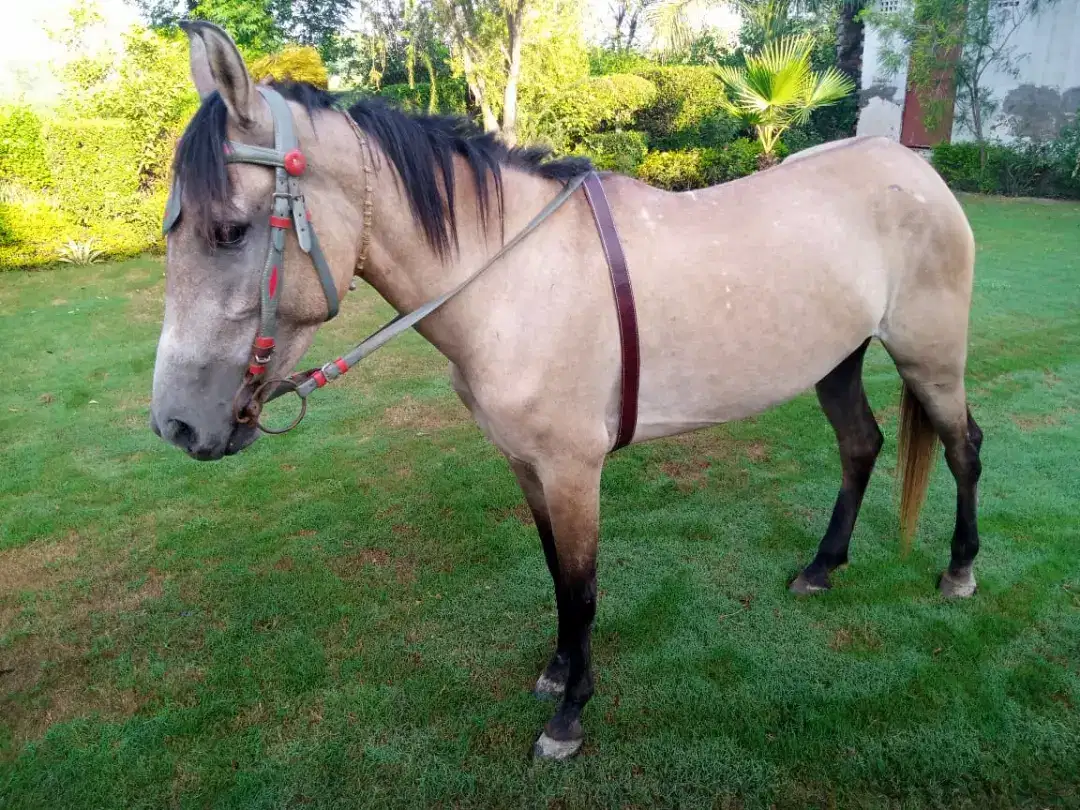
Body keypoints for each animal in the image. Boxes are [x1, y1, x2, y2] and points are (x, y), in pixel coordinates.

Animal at [150, 22, 984, 760]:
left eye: (229, 229)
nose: (176, 426)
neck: (513, 276)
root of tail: (910, 166)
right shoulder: (527, 465)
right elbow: (555, 573)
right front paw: (557, 672)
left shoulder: (574, 470)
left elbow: (582, 588)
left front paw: (571, 715)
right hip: (836, 360)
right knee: (861, 445)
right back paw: (822, 567)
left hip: (931, 358)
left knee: (963, 449)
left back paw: (959, 570)